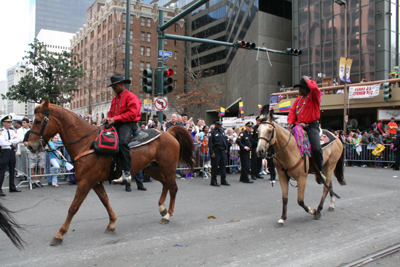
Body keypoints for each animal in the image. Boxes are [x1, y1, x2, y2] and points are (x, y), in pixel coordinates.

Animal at [27, 100, 195, 247]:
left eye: (38, 121)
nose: (30, 146)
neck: (86, 143)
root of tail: (170, 134)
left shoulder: (85, 182)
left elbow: (73, 207)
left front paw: (59, 234)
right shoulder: (94, 182)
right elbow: (105, 201)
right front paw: (112, 223)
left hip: (168, 168)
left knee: (173, 188)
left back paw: (167, 215)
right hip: (153, 169)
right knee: (166, 184)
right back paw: (162, 208)